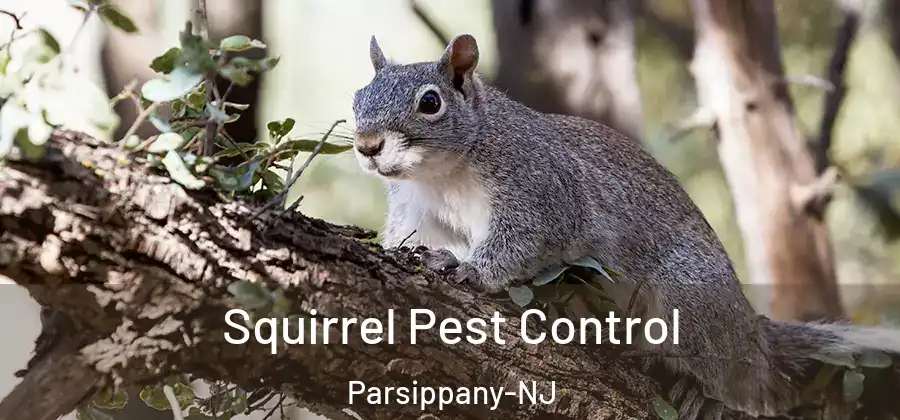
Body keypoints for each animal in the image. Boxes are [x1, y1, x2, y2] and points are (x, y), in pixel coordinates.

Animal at [350, 34, 900, 418]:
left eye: (430, 102)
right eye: (358, 97)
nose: (367, 146)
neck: (441, 173)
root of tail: (750, 331)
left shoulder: (543, 190)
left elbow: (523, 240)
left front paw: (470, 270)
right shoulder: (419, 211)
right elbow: (411, 238)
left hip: (689, 297)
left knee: (743, 382)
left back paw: (702, 391)